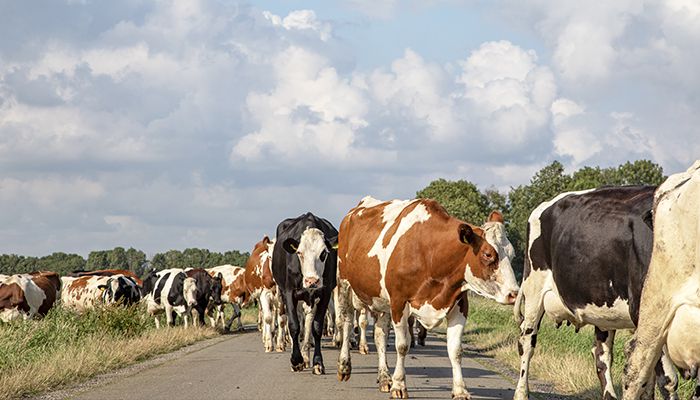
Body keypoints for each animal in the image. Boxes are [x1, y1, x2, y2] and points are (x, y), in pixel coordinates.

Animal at [272, 212, 338, 376]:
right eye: (299, 253)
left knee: (307, 323)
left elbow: (316, 327)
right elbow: (294, 325)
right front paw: (296, 361)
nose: (311, 281)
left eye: (324, 253)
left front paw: (317, 362)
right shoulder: (289, 293)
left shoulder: (325, 293)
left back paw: (307, 356)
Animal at [334, 195, 520, 398]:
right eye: (487, 254)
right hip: (344, 284)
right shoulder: (399, 302)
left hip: (380, 300)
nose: (514, 293)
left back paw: (384, 378)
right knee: (346, 322)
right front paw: (399, 385)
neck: (430, 254)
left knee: (380, 335)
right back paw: (344, 366)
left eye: (512, 254)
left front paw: (460, 390)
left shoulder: (459, 304)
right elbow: (402, 345)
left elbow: (455, 350)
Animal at [516, 187, 680, 400]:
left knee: (601, 355)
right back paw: (521, 393)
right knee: (526, 342)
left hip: (603, 306)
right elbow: (667, 379)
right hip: (534, 289)